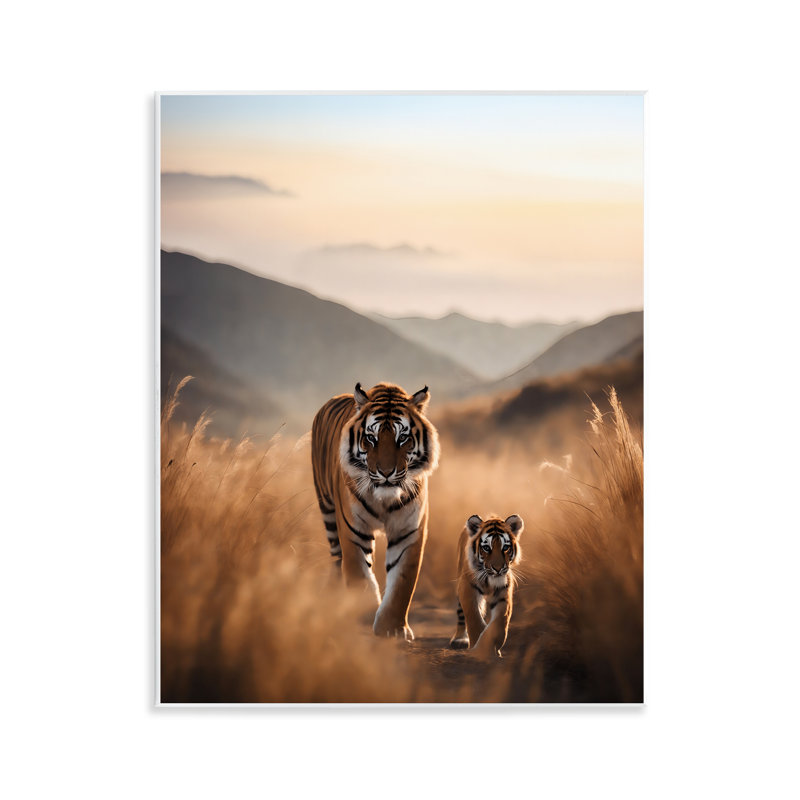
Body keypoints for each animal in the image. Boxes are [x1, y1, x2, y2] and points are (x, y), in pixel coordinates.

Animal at [311, 381, 440, 641]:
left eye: (403, 438)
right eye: (371, 438)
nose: (386, 472)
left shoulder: (408, 532)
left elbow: (402, 584)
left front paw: (392, 628)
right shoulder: (353, 530)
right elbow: (359, 574)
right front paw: (362, 615)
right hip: (327, 509)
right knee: (336, 558)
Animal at [448, 513, 524, 658]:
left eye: (505, 547)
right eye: (487, 548)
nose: (498, 569)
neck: (490, 581)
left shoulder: (503, 595)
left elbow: (499, 624)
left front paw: (490, 648)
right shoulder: (468, 589)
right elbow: (474, 619)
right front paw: (478, 649)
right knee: (461, 615)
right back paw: (459, 639)